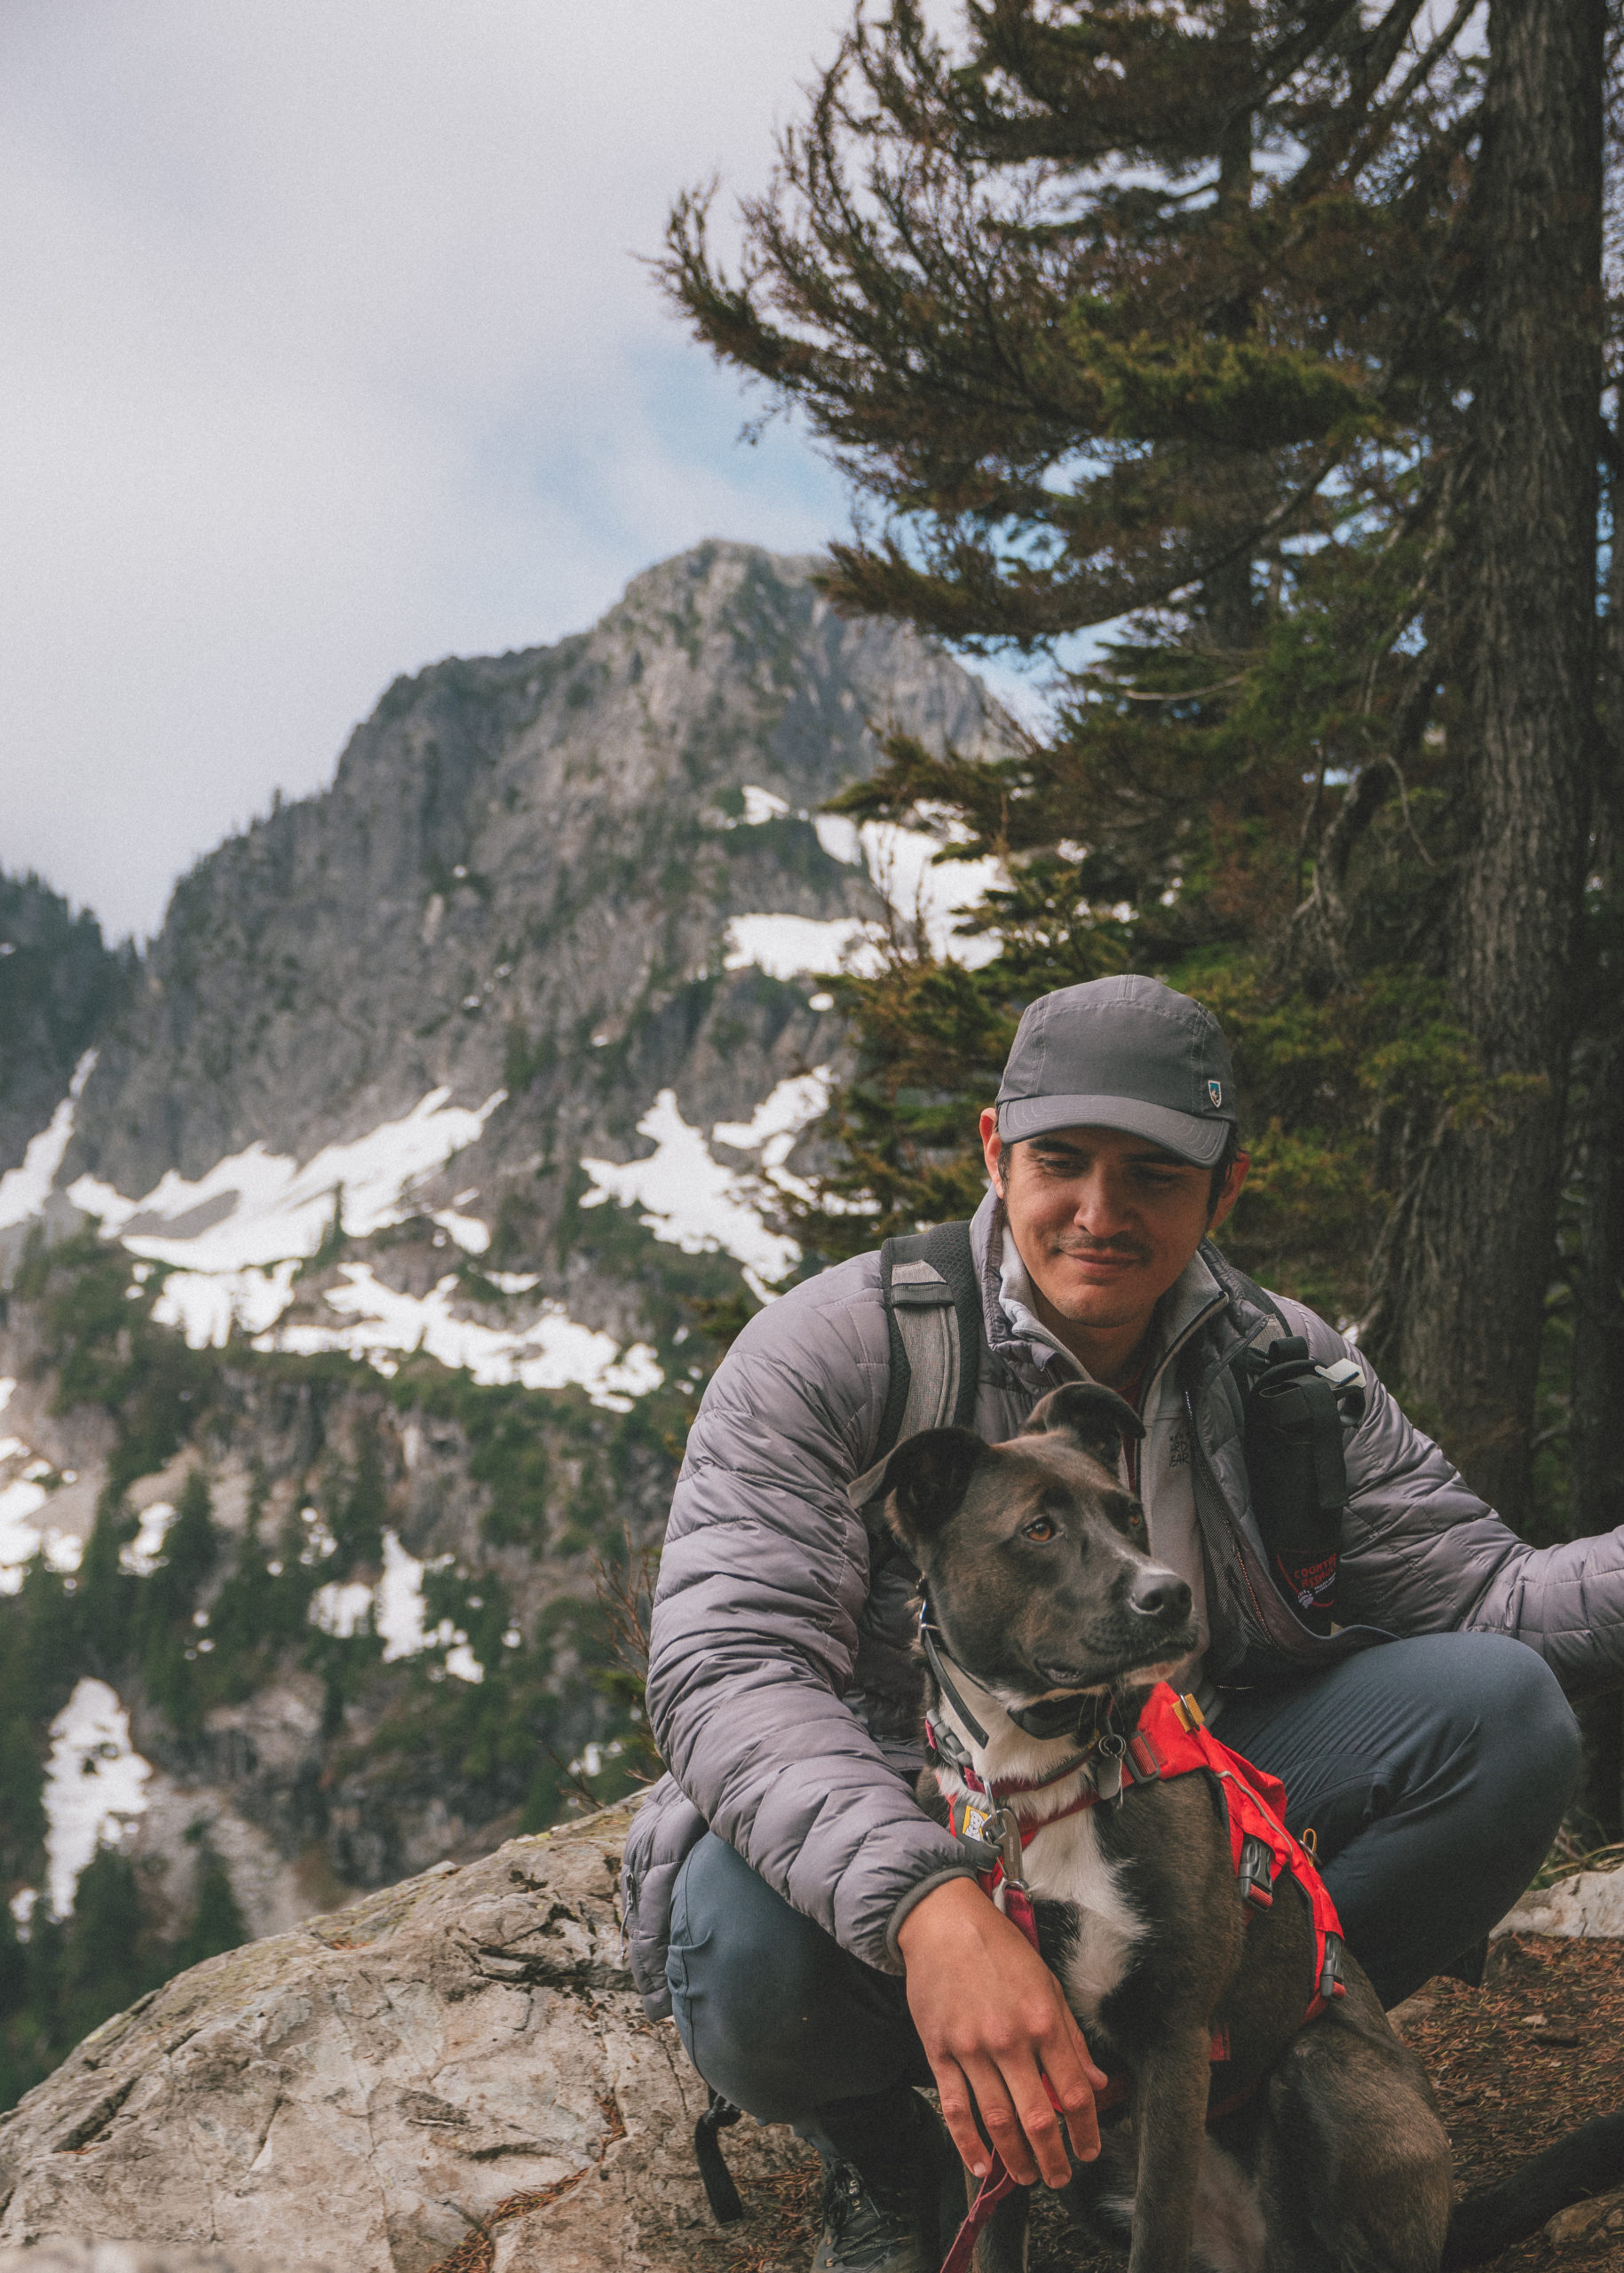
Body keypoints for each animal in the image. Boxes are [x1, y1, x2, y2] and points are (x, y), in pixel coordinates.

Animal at [877, 1373, 1610, 2273]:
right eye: (1037, 1530)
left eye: (1129, 1514)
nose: (1168, 1594)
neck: (1039, 1785)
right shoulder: (1010, 2076)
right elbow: (994, 2237)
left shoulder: (1175, 2038)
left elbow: (1155, 2232)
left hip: (1320, 2070)